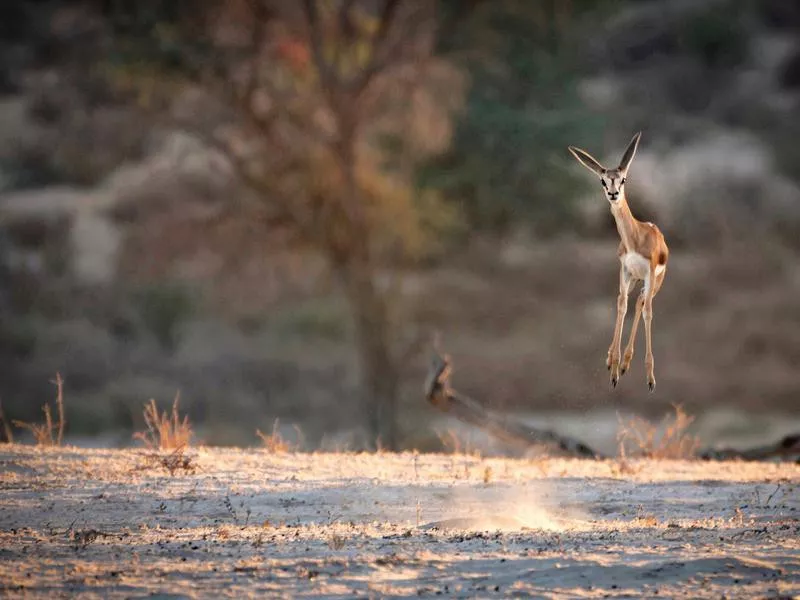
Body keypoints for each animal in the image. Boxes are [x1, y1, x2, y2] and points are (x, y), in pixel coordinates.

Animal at [568, 133, 668, 392]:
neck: (636, 237)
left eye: (623, 179)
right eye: (603, 181)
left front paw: (650, 379)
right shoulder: (624, 270)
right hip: (634, 280)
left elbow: (648, 312)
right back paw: (616, 362)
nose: (613, 195)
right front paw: (613, 368)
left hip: (653, 283)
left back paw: (626, 364)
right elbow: (621, 305)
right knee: (632, 302)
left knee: (643, 303)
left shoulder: (649, 272)